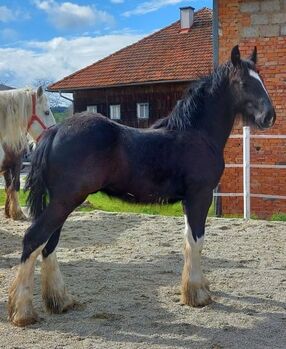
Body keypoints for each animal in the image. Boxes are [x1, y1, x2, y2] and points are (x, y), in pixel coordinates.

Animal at [0, 85, 55, 219]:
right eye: (46, 112)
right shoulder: (17, 163)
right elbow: (15, 186)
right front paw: (17, 213)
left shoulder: (7, 167)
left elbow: (9, 187)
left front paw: (9, 212)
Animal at [8, 44, 276, 324]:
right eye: (244, 82)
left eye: (261, 79)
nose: (269, 116)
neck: (197, 134)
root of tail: (55, 131)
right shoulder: (199, 197)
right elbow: (197, 241)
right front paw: (197, 295)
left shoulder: (188, 201)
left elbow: (188, 241)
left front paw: (195, 290)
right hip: (65, 200)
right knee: (34, 239)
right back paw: (23, 312)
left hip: (63, 201)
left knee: (48, 244)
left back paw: (60, 301)